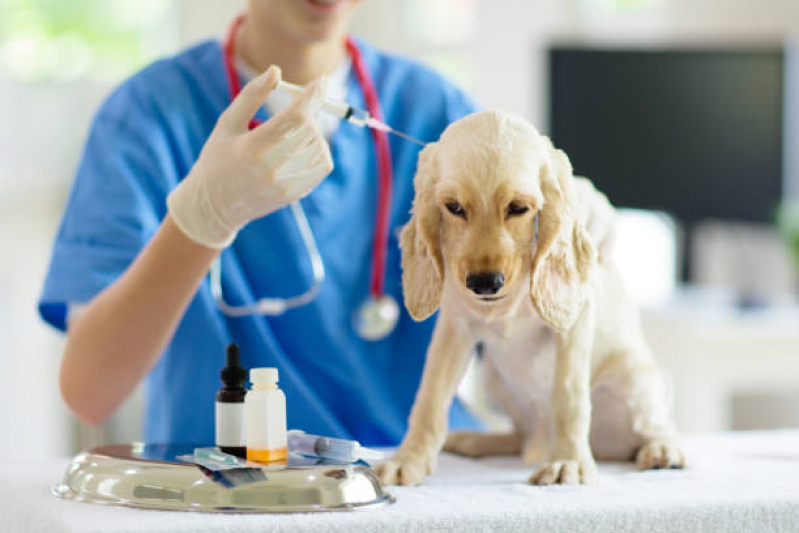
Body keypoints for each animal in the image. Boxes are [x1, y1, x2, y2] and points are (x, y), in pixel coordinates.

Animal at [380, 110, 688, 484]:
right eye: (453, 207)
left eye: (517, 208)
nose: (485, 283)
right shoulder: (455, 327)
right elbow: (430, 398)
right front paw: (408, 459)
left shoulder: (575, 322)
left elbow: (569, 397)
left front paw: (568, 461)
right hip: (493, 377)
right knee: (519, 436)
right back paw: (474, 440)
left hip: (636, 377)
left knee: (654, 425)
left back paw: (663, 450)